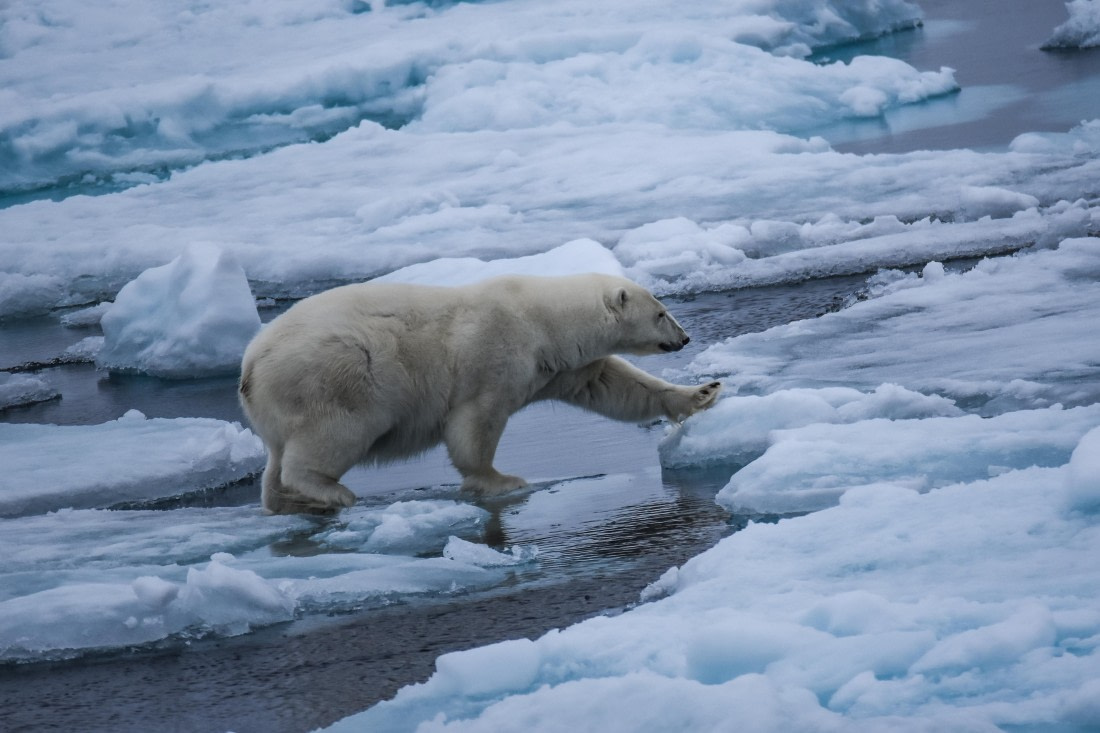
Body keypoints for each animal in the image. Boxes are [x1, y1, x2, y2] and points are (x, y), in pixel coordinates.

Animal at [239, 273, 721, 514]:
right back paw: (330, 491)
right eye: (661, 313)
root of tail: (250, 366)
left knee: (277, 460)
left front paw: (703, 392)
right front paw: (501, 480)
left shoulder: (561, 367)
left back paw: (284, 502)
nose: (684, 338)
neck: (541, 319)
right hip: (335, 377)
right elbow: (476, 422)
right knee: (334, 436)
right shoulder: (492, 355)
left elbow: (614, 385)